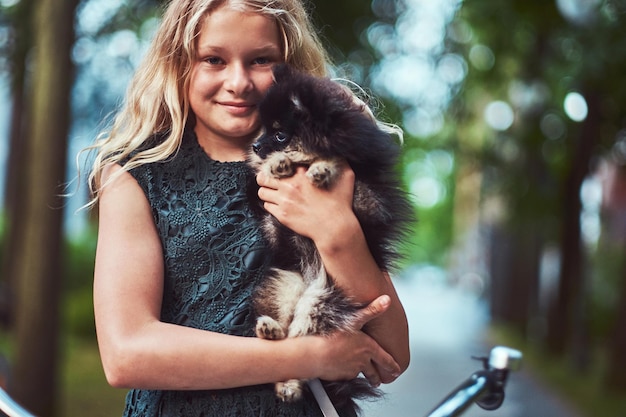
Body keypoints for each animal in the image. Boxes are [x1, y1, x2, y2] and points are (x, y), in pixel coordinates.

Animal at [246, 65, 412, 412]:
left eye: (279, 133)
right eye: (263, 129)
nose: (255, 146)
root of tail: (311, 281)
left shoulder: (370, 199)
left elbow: (340, 162)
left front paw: (321, 166)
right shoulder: (269, 213)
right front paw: (278, 163)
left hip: (320, 301)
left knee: (302, 347)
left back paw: (288, 381)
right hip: (286, 285)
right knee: (285, 345)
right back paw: (271, 333)